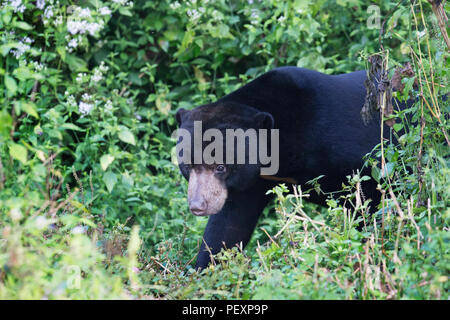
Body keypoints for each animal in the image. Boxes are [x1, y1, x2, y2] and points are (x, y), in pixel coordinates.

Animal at [174, 67, 392, 270]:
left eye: (220, 166)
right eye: (188, 166)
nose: (198, 206)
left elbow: (370, 202)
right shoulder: (251, 182)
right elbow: (228, 224)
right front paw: (206, 268)